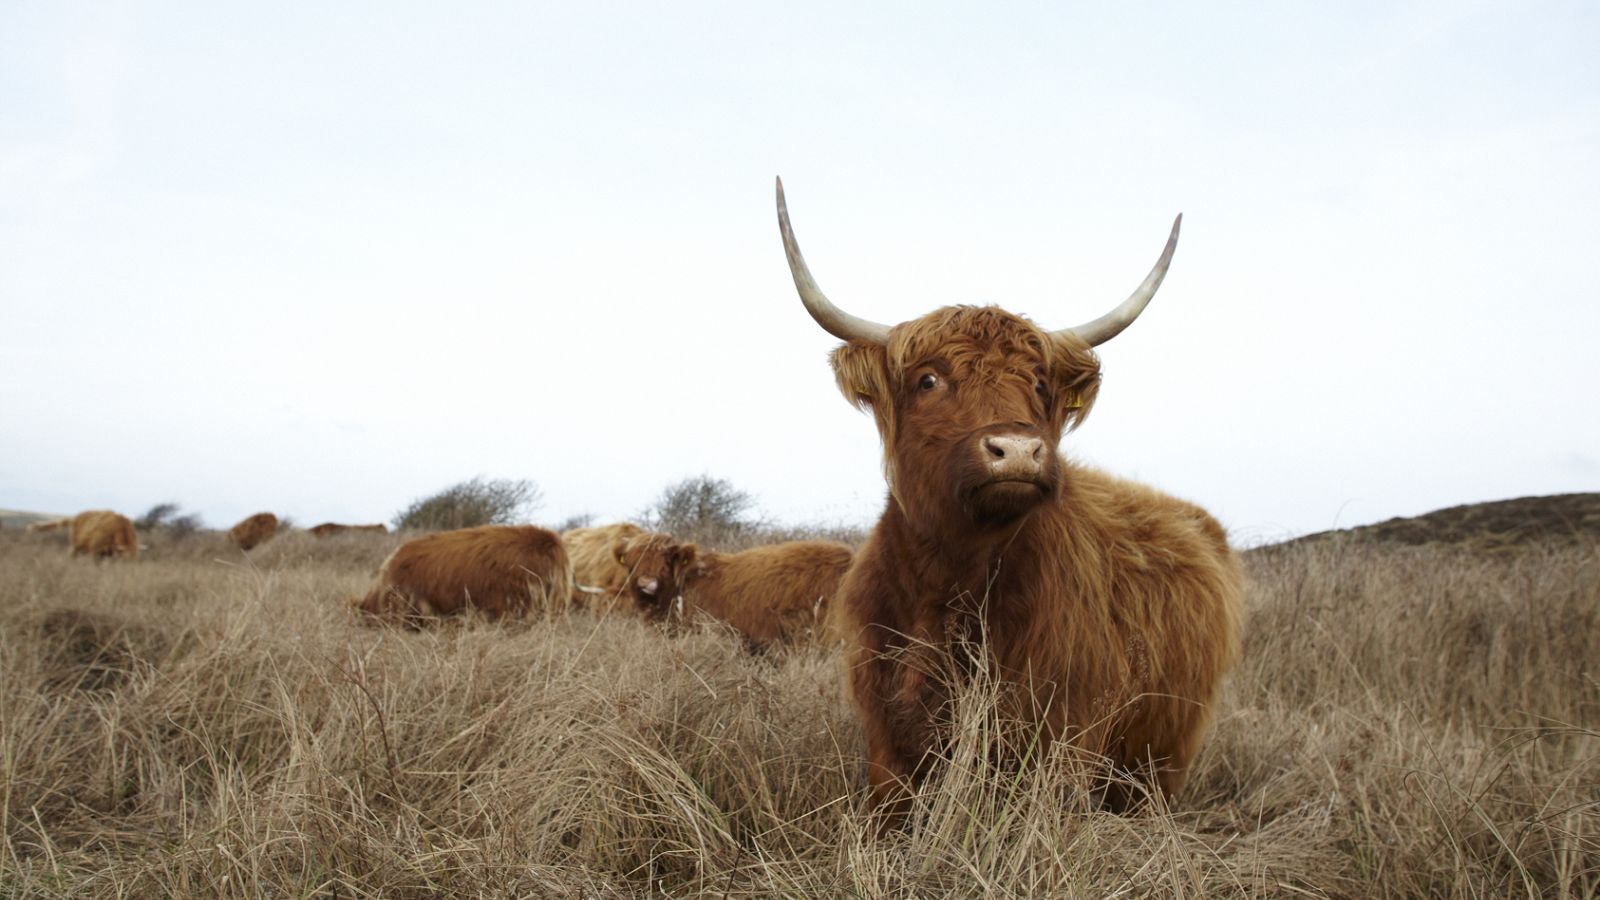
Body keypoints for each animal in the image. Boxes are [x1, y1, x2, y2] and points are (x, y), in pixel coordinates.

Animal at [768, 178, 1241, 816]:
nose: (1017, 451)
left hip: (1160, 759)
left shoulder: (1058, 738)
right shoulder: (886, 743)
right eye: (928, 379)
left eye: (1039, 384)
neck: (947, 582)